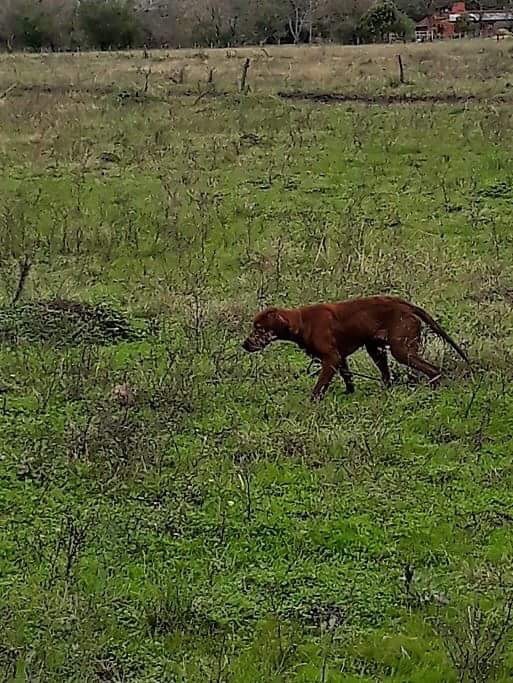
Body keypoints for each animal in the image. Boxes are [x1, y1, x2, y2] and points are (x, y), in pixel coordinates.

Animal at [242, 296, 470, 400]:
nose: (244, 344)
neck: (302, 322)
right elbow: (348, 377)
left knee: (433, 370)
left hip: (401, 350)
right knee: (387, 376)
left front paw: (311, 401)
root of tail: (406, 305)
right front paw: (349, 393)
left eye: (259, 329)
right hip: (376, 349)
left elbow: (319, 386)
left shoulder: (331, 358)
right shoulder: (340, 358)